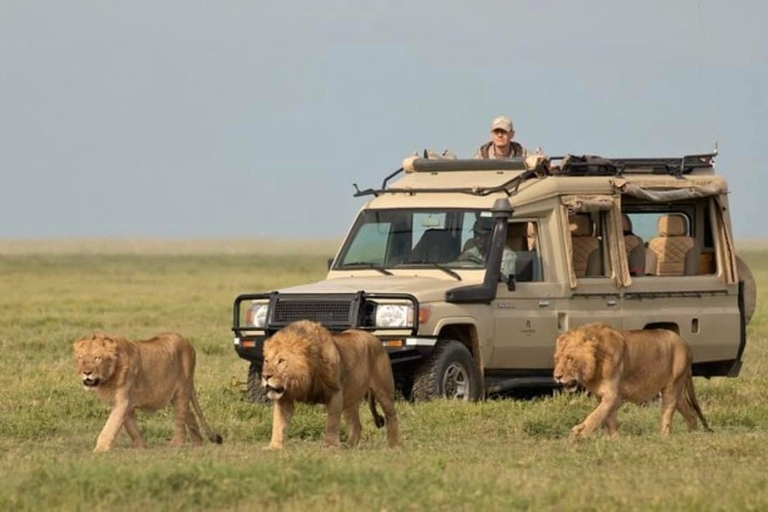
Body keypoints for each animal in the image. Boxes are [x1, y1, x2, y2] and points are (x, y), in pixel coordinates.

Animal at [74, 332, 224, 452]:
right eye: (80, 358)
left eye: (97, 358)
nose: (86, 372)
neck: (108, 377)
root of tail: (187, 343)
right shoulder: (126, 404)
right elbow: (131, 428)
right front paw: (141, 447)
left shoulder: (122, 401)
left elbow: (110, 426)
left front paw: (99, 450)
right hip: (177, 395)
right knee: (190, 414)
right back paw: (198, 444)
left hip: (182, 389)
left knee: (180, 420)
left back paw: (175, 446)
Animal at [260, 322, 402, 450]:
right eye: (266, 360)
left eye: (281, 361)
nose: (265, 376)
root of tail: (375, 338)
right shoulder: (285, 398)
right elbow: (278, 423)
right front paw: (274, 446)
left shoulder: (335, 392)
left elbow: (332, 421)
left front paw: (330, 445)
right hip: (349, 399)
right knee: (356, 425)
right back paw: (348, 446)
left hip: (384, 391)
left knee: (392, 417)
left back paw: (393, 446)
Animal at [556, 322, 712, 438]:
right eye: (556, 359)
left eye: (570, 359)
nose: (557, 376)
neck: (596, 366)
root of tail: (686, 345)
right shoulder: (603, 396)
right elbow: (608, 416)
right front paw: (614, 439)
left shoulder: (612, 395)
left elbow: (597, 415)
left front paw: (580, 432)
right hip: (678, 390)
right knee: (690, 413)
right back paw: (692, 435)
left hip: (672, 385)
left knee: (668, 410)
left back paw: (663, 436)